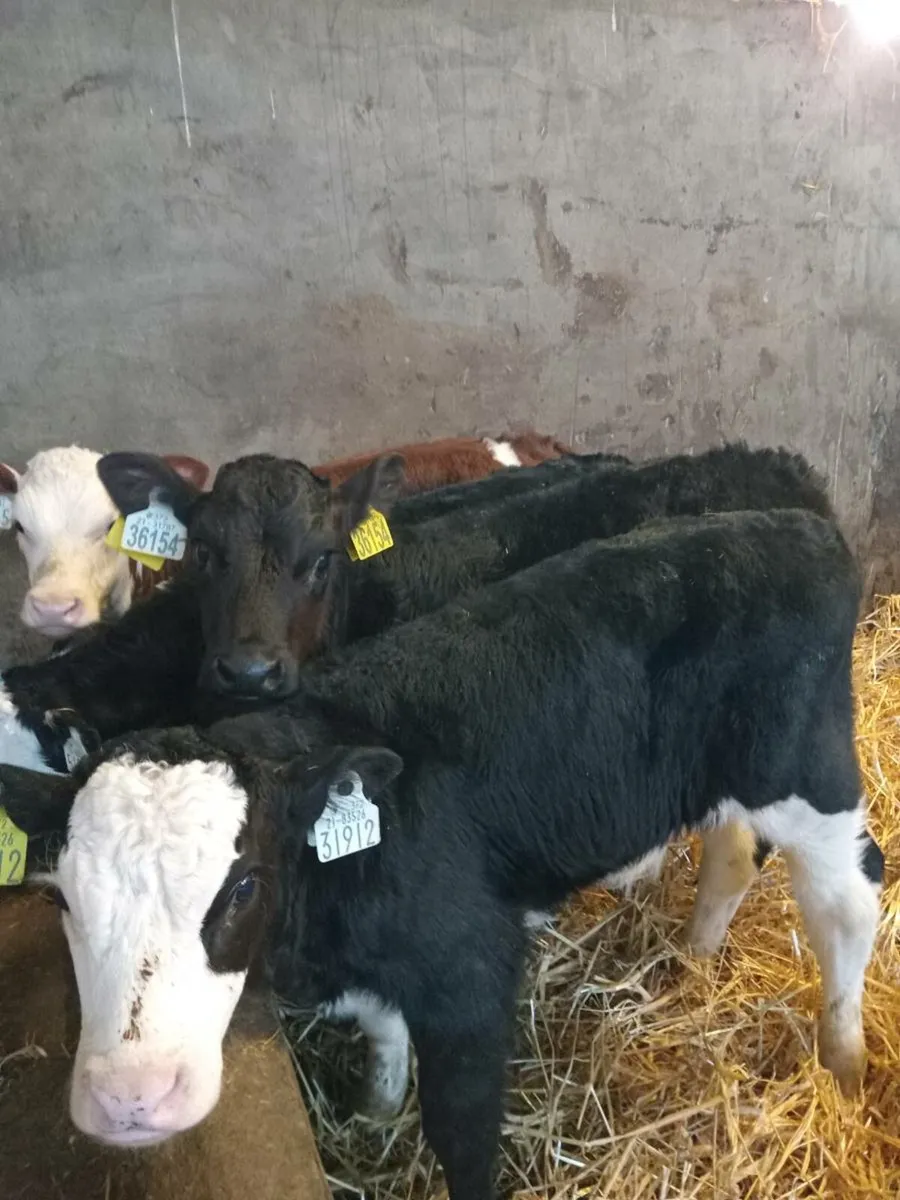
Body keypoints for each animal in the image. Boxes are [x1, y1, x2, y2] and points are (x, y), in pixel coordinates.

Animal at [1, 509, 881, 1200]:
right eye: (60, 895)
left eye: (243, 885)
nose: (132, 1100)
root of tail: (798, 526)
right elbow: (383, 1031)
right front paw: (378, 1107)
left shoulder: (469, 971)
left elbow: (461, 1130)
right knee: (734, 848)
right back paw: (696, 957)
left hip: (808, 771)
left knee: (846, 902)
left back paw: (846, 1060)